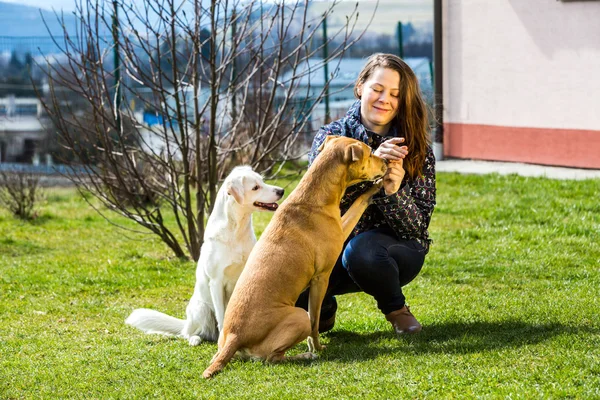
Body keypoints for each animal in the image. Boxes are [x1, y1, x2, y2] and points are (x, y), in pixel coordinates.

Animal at [125, 164, 284, 346]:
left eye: (262, 181)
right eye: (255, 187)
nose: (281, 191)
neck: (236, 232)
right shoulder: (216, 282)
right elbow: (222, 316)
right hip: (201, 308)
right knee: (188, 333)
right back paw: (195, 338)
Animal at [204, 135, 386, 378]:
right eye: (369, 152)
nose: (386, 162)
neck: (313, 195)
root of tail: (234, 336)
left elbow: (358, 204)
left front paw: (374, 189)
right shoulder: (321, 278)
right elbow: (315, 322)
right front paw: (317, 347)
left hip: (225, 340)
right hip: (298, 316)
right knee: (273, 358)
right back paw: (305, 355)